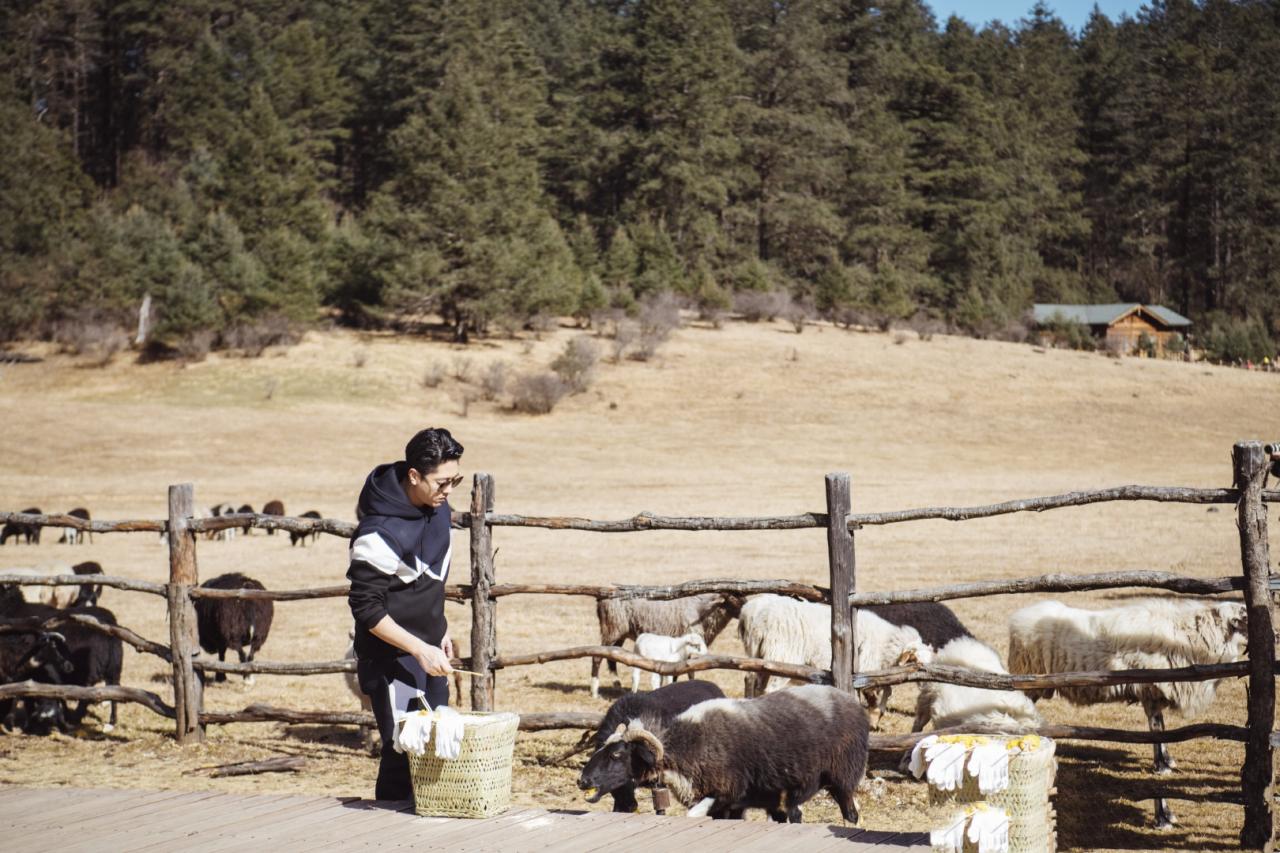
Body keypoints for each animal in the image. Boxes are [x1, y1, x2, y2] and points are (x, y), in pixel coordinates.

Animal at [588, 591, 742, 696]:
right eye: (733, 598)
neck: (704, 609)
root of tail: (601, 599)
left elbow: (686, 669)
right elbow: (682, 670)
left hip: (620, 633)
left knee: (612, 656)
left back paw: (618, 685)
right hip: (612, 629)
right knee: (597, 656)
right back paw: (595, 691)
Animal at [1008, 594, 1239, 824]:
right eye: (1242, 618)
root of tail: (1020, 617)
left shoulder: (1152, 694)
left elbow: (1160, 727)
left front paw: (1166, 761)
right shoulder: (1151, 689)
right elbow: (1157, 729)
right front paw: (1161, 767)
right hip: (1028, 679)